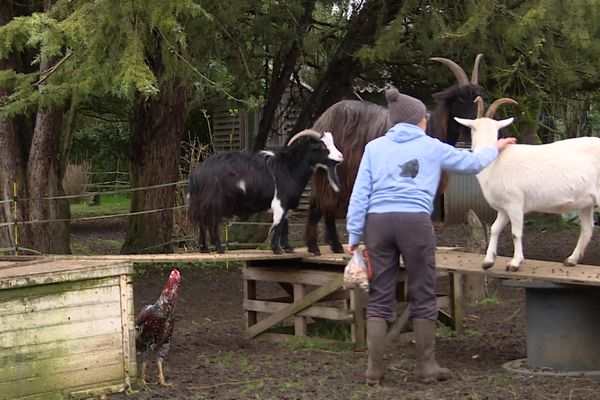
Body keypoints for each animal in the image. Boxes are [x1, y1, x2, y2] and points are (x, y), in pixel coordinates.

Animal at [185, 130, 344, 253]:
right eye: (322, 146)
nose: (341, 156)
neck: (290, 168)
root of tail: (198, 174)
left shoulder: (287, 204)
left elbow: (285, 225)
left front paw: (288, 248)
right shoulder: (280, 201)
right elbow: (278, 224)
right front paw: (277, 249)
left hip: (203, 202)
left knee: (202, 221)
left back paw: (204, 248)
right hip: (215, 200)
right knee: (211, 223)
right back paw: (219, 248)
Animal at [304, 53, 488, 255]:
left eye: (478, 98)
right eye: (460, 99)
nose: (474, 130)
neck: (432, 130)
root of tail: (322, 120)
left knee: (327, 204)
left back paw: (336, 247)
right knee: (320, 202)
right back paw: (314, 247)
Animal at [454, 98, 600, 270]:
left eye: (471, 129)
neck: (495, 160)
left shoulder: (515, 203)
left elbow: (515, 233)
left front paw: (515, 263)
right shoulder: (503, 207)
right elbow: (495, 229)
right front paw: (488, 261)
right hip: (586, 201)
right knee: (587, 229)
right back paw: (571, 260)